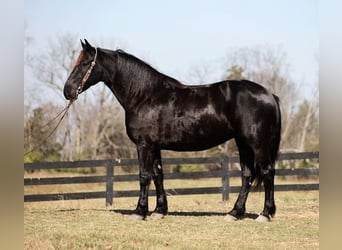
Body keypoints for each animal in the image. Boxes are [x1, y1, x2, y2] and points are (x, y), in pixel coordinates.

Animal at [63, 40, 280, 222]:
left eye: (86, 63)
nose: (67, 91)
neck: (144, 96)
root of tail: (269, 94)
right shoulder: (155, 146)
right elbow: (158, 175)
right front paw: (159, 211)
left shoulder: (144, 145)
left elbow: (144, 176)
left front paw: (139, 212)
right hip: (243, 143)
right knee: (248, 175)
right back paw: (235, 213)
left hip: (257, 143)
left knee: (267, 172)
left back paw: (264, 214)